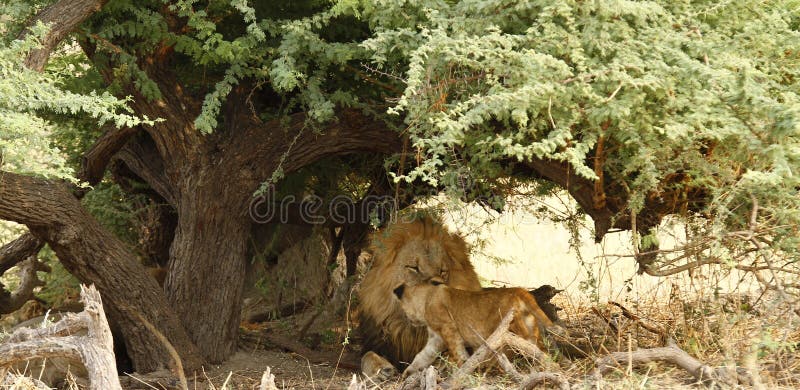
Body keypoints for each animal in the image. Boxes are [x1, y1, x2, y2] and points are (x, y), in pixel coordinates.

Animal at [358, 215, 482, 380]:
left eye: (442, 271)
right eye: (414, 268)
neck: (413, 331)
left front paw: (445, 364)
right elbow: (367, 355)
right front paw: (382, 368)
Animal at [394, 282, 556, 376]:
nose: (408, 319)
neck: (426, 297)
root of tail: (519, 290)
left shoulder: (448, 327)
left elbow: (457, 351)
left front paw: (462, 367)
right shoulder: (435, 339)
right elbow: (423, 355)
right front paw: (408, 373)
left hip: (505, 328)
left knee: (519, 347)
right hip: (530, 326)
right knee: (538, 348)